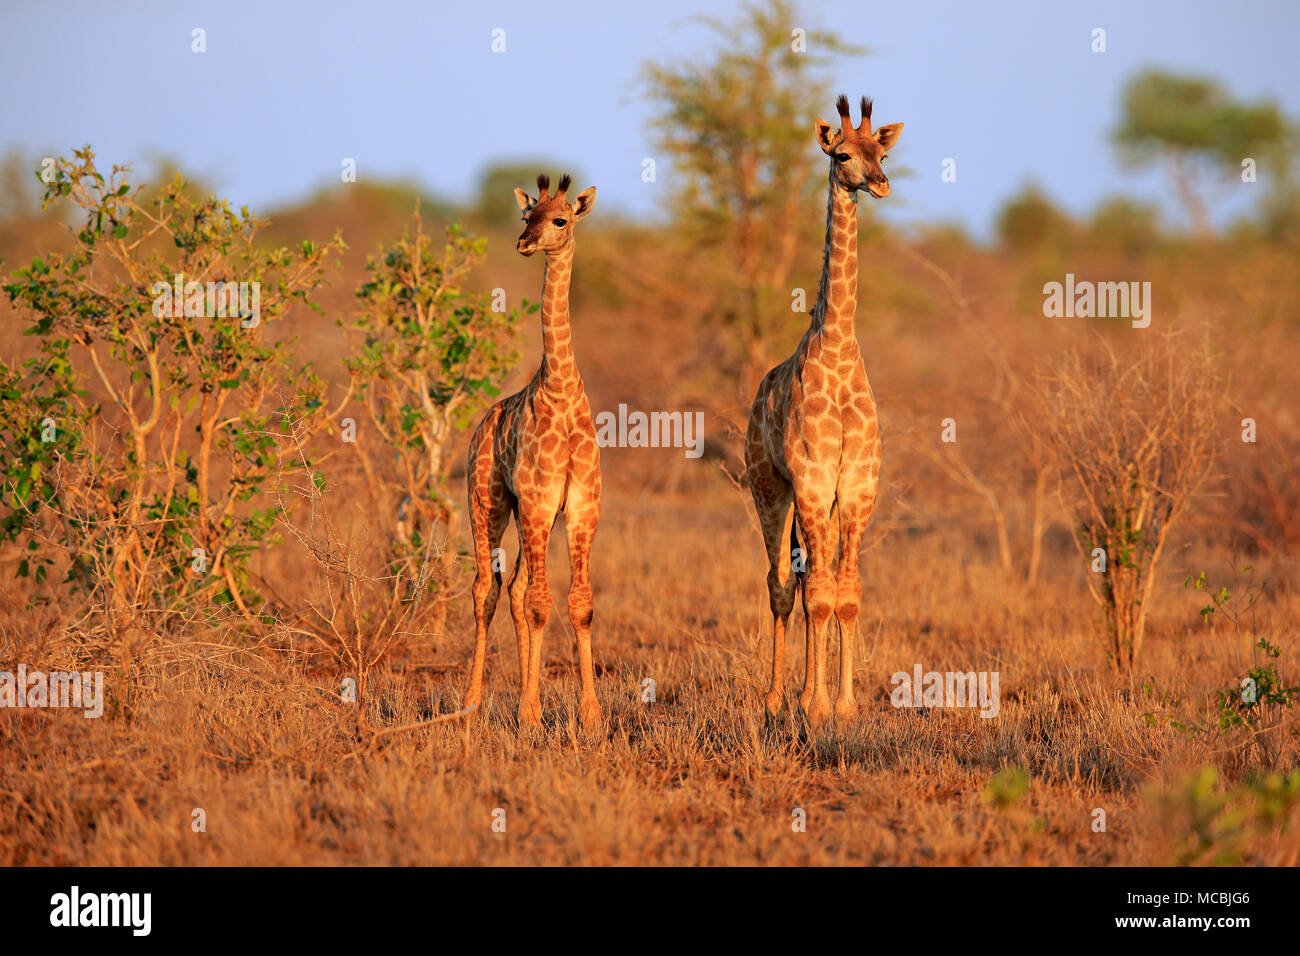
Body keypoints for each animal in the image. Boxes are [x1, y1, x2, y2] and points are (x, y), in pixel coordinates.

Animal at [462, 174, 603, 733]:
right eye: (527, 216)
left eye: (560, 219)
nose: (524, 242)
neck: (561, 392)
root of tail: (482, 425)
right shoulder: (541, 502)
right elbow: (542, 602)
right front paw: (529, 712)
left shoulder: (581, 505)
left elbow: (578, 603)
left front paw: (590, 716)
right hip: (489, 502)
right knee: (486, 589)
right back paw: (473, 704)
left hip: (523, 514)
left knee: (517, 590)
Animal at [743, 95, 904, 723]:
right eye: (841, 155)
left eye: (882, 152)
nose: (880, 183)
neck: (835, 348)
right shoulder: (810, 481)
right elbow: (813, 593)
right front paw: (812, 705)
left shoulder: (856, 486)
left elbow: (846, 593)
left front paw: (846, 705)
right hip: (769, 487)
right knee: (780, 583)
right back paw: (774, 696)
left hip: (826, 502)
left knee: (814, 577)